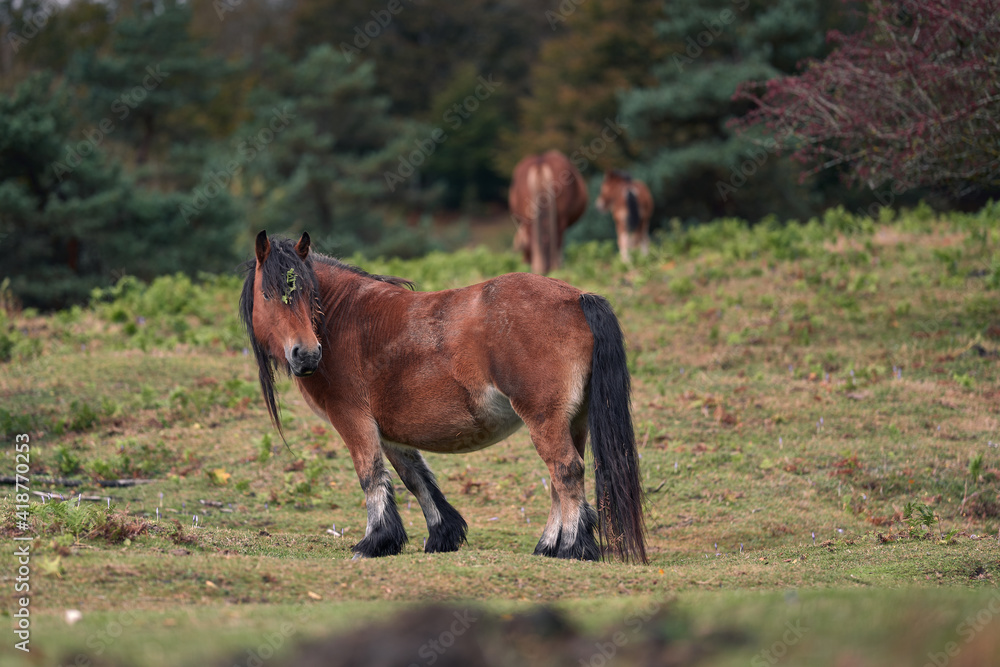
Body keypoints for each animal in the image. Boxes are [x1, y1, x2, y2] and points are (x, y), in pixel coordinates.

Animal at [240, 231, 647, 563]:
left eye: (308, 294)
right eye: (268, 295)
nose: (306, 355)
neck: (344, 317)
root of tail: (576, 298)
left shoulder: (353, 420)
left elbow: (370, 475)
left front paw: (374, 542)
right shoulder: (390, 430)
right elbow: (415, 478)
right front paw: (440, 535)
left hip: (544, 419)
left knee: (565, 471)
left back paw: (571, 549)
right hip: (572, 421)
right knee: (560, 480)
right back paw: (548, 546)